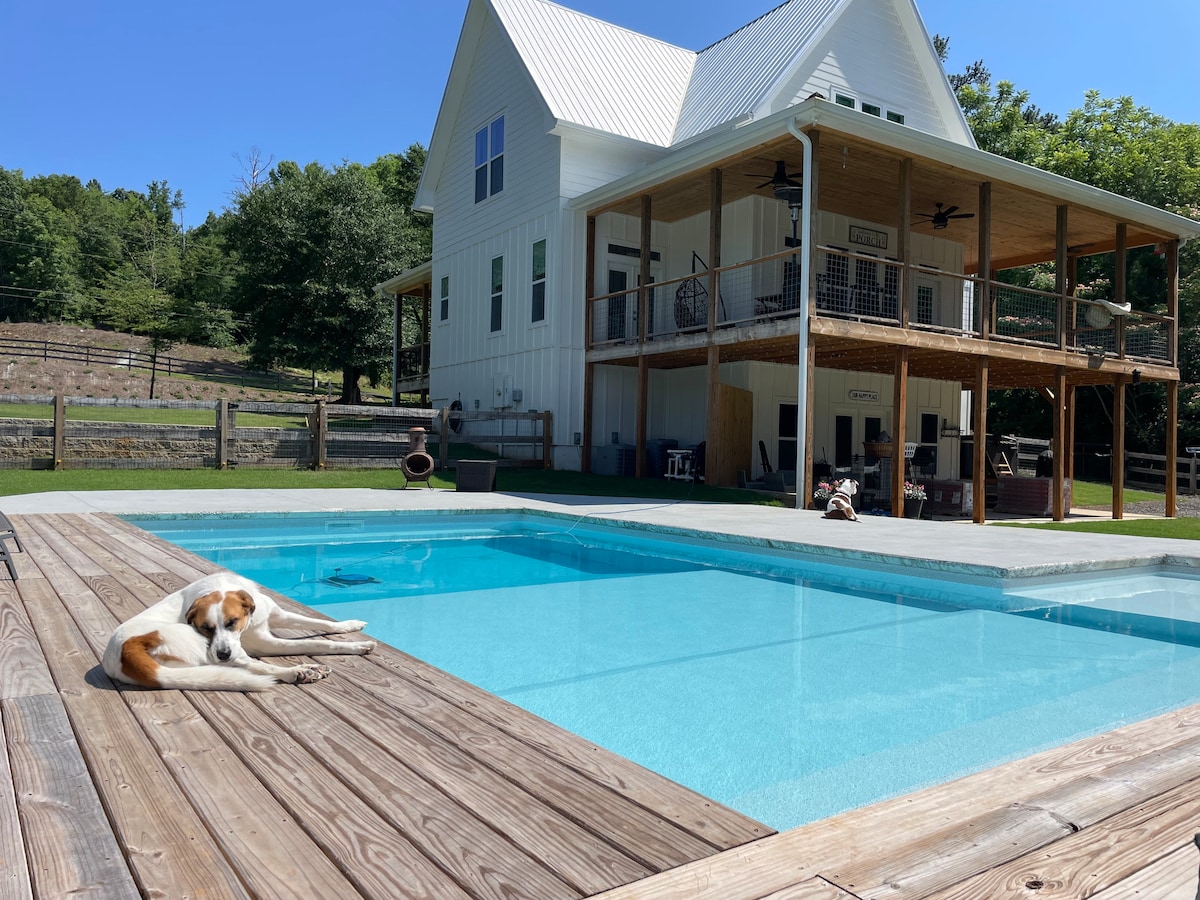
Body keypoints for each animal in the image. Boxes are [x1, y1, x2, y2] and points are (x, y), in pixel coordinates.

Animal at [103, 573, 374, 696]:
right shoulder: (265, 643)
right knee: (258, 667)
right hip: (198, 644)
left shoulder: (277, 615)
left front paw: (350, 625)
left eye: (232, 622)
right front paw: (357, 647)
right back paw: (300, 671)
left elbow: (320, 623)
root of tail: (124, 652)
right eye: (206, 627)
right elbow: (317, 644)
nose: (223, 654)